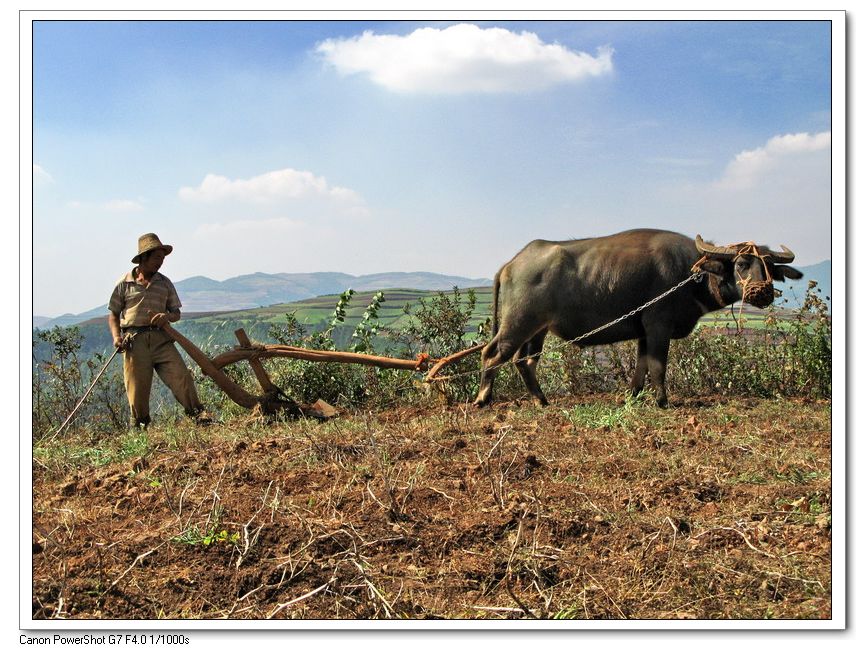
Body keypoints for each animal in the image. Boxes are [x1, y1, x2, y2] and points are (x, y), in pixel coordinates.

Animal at [472, 229, 804, 404]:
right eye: (741, 264)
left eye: (769, 266)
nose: (762, 293)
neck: (690, 274)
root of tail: (511, 263)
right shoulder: (658, 324)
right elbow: (658, 365)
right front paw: (662, 401)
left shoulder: (644, 330)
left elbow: (641, 365)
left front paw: (633, 394)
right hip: (518, 322)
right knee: (492, 354)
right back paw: (483, 398)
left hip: (538, 328)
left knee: (523, 361)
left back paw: (541, 400)